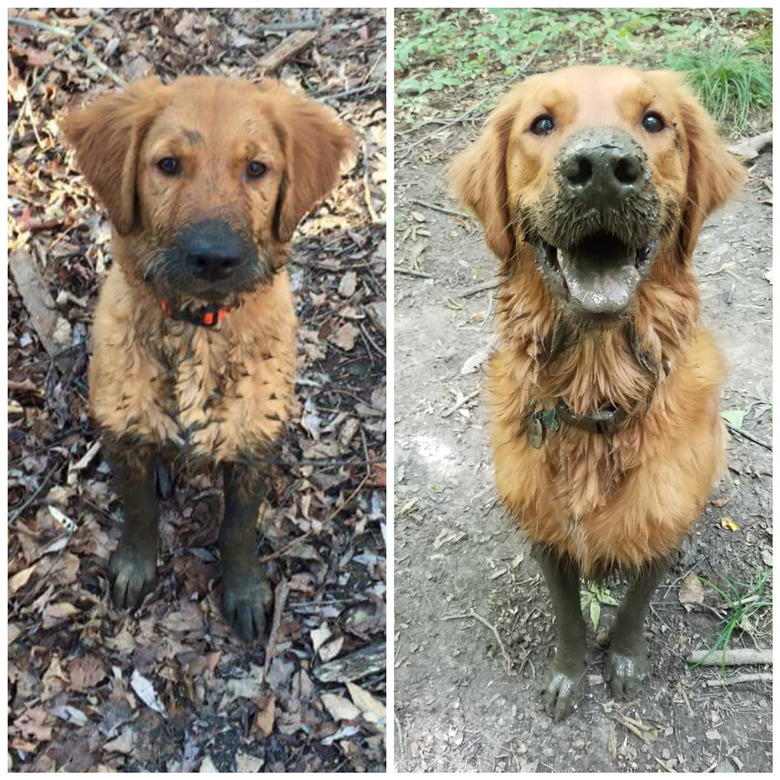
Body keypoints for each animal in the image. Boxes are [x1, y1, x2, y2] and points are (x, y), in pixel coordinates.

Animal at [64, 77, 354, 640]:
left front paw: (244, 591)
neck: (197, 327)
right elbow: (139, 510)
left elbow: (238, 527)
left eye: (256, 168)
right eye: (168, 164)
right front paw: (135, 566)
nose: (215, 258)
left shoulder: (254, 440)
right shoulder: (123, 426)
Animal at [454, 67, 748, 720]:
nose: (605, 168)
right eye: (541, 123)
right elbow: (568, 616)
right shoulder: (547, 531)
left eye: (654, 120)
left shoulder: (661, 520)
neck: (597, 392)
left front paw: (625, 661)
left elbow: (637, 603)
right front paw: (569, 675)